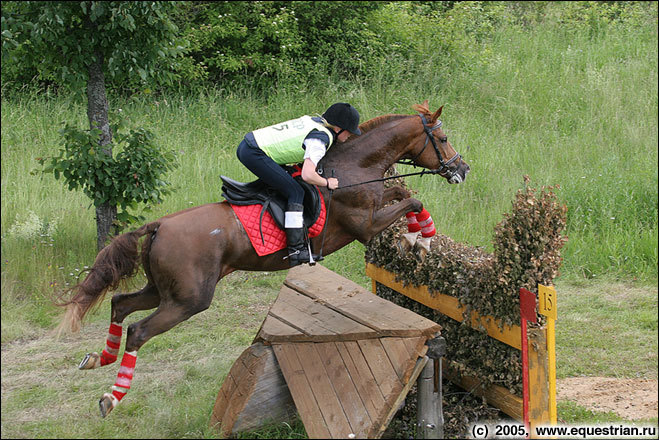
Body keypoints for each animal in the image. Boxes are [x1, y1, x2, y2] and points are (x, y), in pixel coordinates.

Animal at [58, 99, 470, 416]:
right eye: (443, 139)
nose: (462, 170)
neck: (354, 167)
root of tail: (159, 224)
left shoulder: (375, 203)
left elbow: (403, 193)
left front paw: (419, 234)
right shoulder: (365, 225)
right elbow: (411, 199)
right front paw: (421, 237)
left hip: (164, 290)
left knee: (120, 303)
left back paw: (99, 358)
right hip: (190, 299)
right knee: (138, 331)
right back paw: (112, 397)